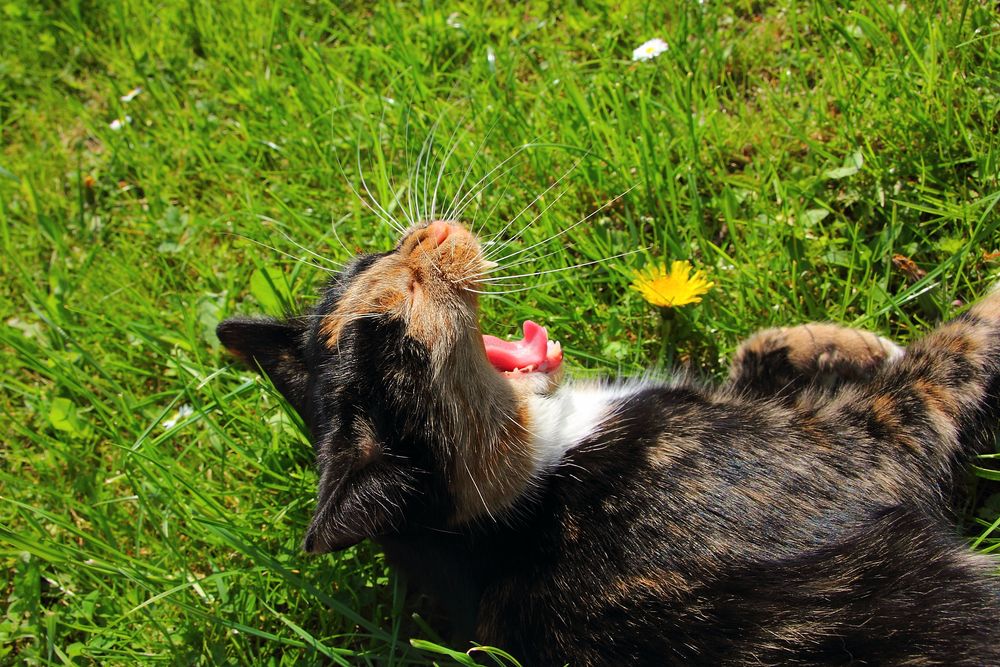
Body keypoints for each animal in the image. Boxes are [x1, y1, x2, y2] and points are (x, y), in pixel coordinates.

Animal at [219, 222, 1000, 664]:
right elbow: (954, 343)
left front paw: (843, 342)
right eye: (396, 322)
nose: (422, 235)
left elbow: (751, 349)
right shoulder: (875, 441)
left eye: (365, 262)